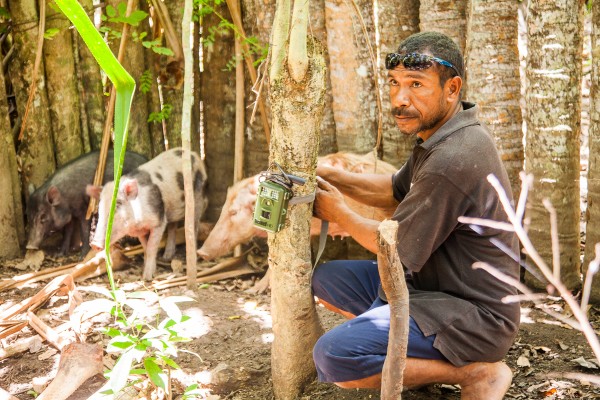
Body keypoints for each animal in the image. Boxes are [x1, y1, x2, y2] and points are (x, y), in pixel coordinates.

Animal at [86, 148, 209, 282]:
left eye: (117, 204)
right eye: (100, 205)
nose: (94, 244)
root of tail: (193, 153)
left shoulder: (159, 221)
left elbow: (151, 247)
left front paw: (147, 278)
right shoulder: (141, 230)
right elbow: (145, 247)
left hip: (198, 197)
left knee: (194, 225)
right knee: (173, 226)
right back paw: (167, 257)